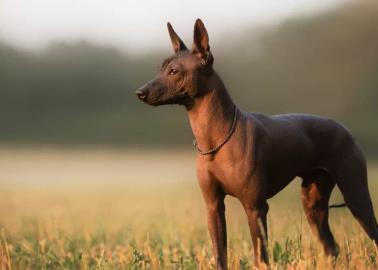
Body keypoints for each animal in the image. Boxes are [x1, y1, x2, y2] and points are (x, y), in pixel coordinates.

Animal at [134, 18, 376, 268]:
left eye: (174, 71)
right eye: (160, 69)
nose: (140, 92)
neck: (216, 139)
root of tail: (345, 129)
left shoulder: (255, 208)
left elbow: (261, 257)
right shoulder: (213, 207)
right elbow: (220, 254)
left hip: (357, 196)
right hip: (313, 204)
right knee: (331, 247)